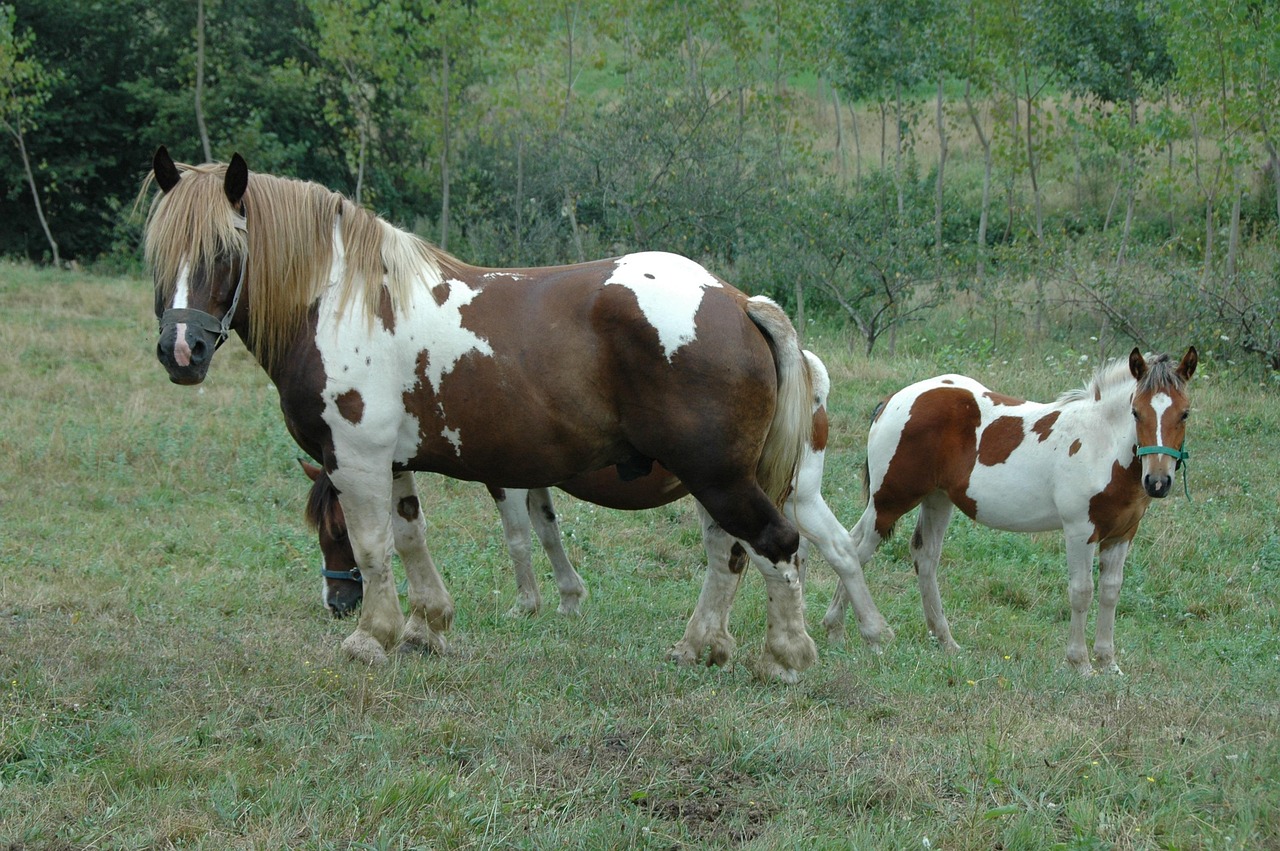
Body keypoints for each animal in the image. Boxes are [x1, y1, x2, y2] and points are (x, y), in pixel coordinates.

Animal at [145, 145, 834, 675]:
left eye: (223, 251)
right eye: (158, 256)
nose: (182, 351)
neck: (345, 303)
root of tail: (737, 301)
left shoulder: (355, 459)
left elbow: (374, 547)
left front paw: (370, 638)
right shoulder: (393, 462)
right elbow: (410, 536)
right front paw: (425, 627)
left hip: (717, 476)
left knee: (774, 543)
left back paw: (785, 657)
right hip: (713, 478)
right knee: (728, 552)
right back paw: (699, 646)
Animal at [824, 348, 1192, 675]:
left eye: (1185, 413)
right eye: (1136, 412)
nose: (1158, 482)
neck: (1101, 445)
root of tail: (892, 401)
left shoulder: (1122, 534)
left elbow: (1111, 593)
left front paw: (1108, 663)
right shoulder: (1080, 530)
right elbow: (1082, 592)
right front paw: (1081, 663)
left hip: (936, 499)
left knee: (922, 556)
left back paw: (944, 642)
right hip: (890, 501)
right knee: (855, 549)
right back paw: (842, 631)